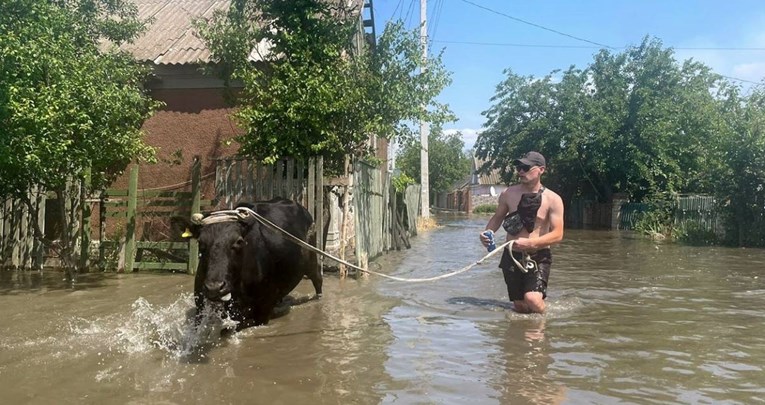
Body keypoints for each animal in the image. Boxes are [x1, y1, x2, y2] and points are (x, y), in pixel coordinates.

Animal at [192, 197, 324, 330]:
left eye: (239, 241)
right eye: (200, 242)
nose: (214, 288)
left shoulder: (264, 306)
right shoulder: (200, 307)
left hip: (311, 260)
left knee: (317, 279)